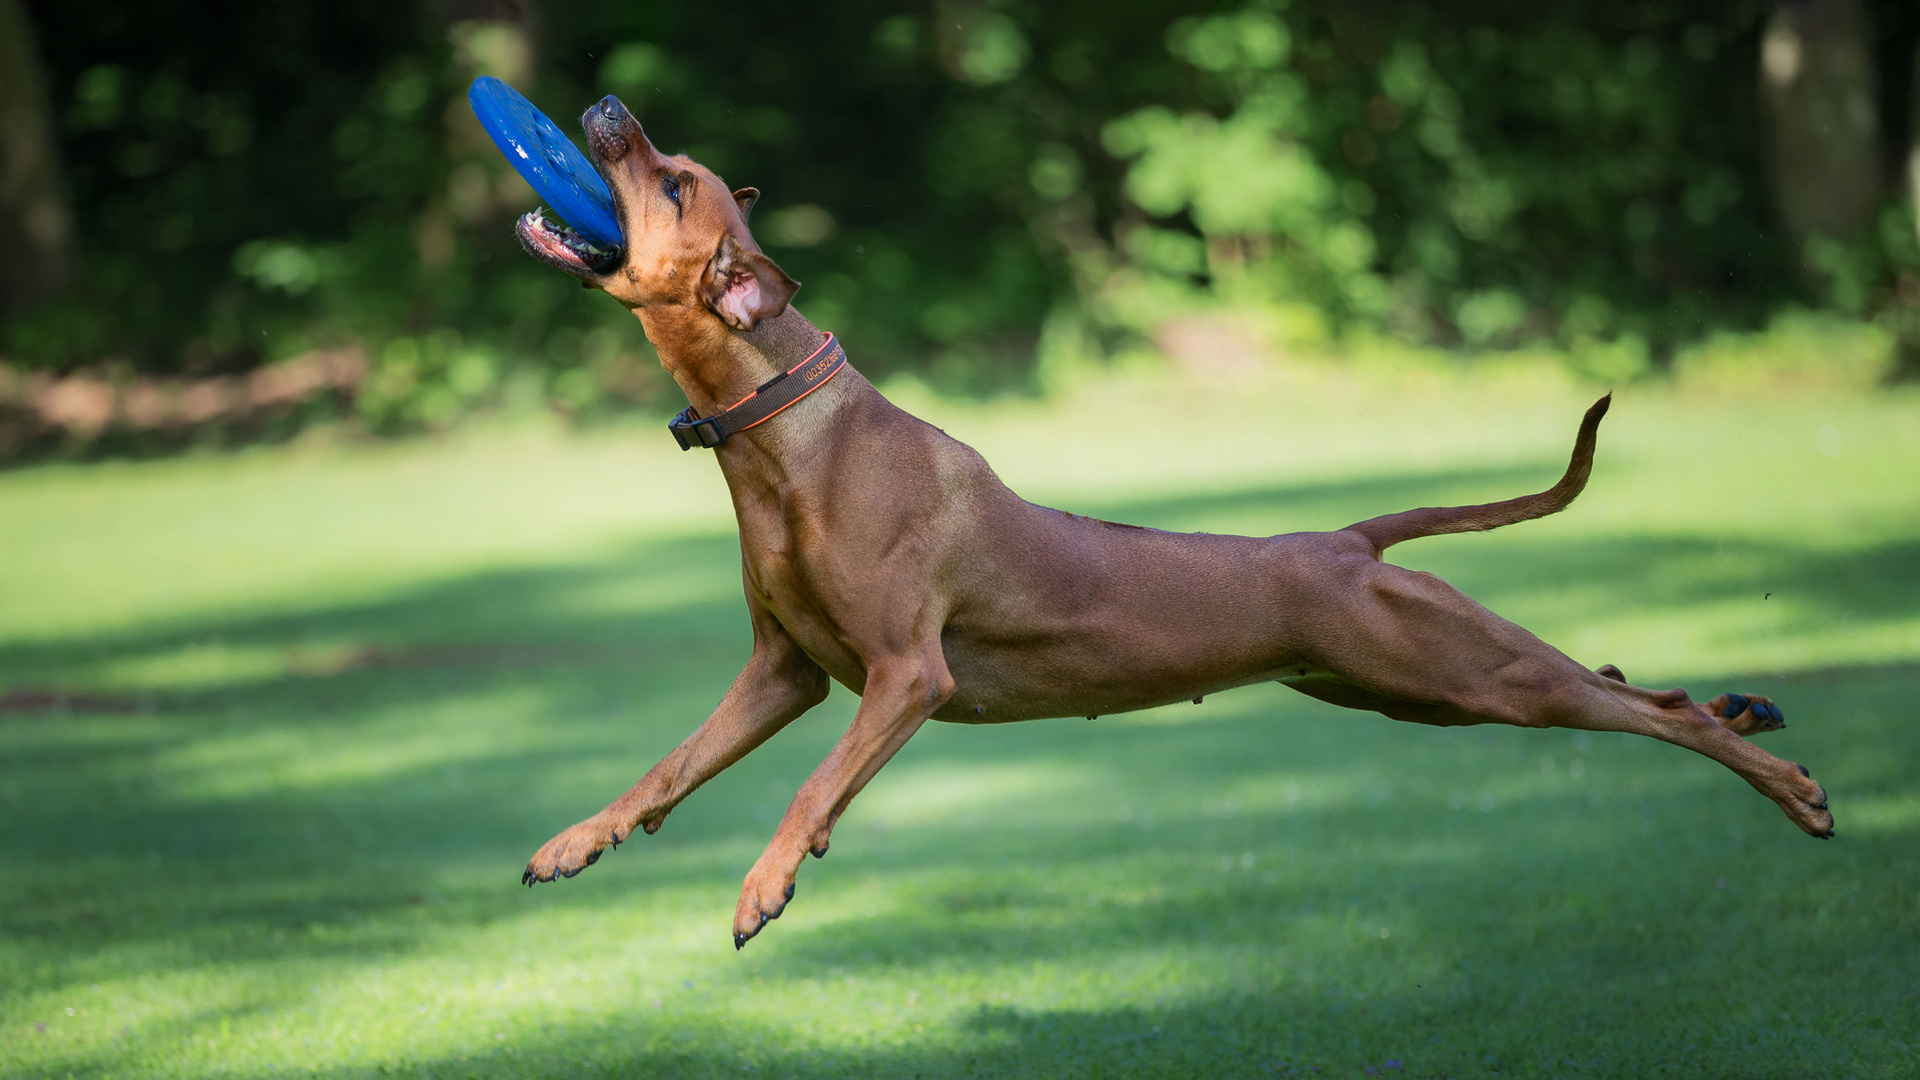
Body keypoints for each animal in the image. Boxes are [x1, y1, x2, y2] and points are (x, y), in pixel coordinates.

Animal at [510, 96, 1827, 945]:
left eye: (672, 182)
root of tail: (1343, 543)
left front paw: (767, 882)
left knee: (1641, 707)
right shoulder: (783, 674)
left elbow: (808, 788)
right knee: (1629, 683)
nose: (607, 102)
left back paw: (1786, 784)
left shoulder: (905, 678)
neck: (786, 433)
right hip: (1408, 687)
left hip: (1465, 671)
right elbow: (673, 763)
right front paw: (582, 837)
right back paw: (1746, 714)